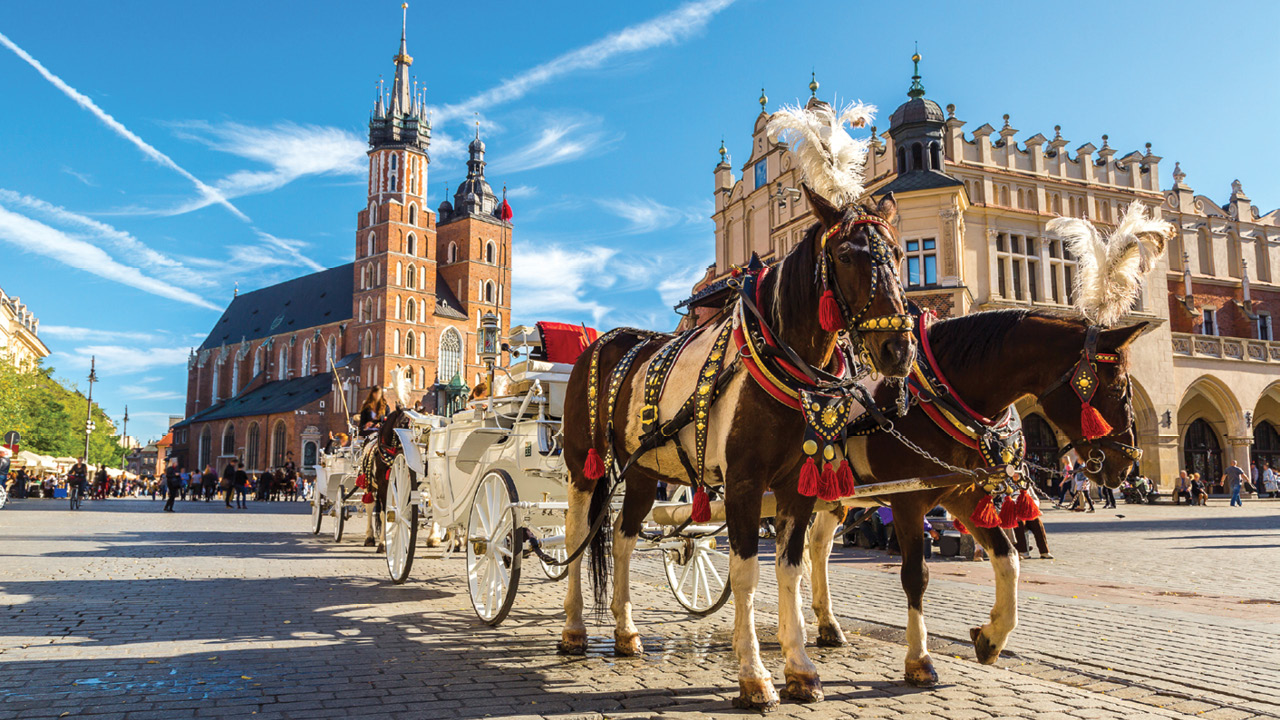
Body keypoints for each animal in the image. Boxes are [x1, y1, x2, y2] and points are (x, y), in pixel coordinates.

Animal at [560, 179, 921, 707]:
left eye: (899, 253)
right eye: (845, 255)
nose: (899, 349)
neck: (778, 362)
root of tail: (602, 342)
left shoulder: (797, 485)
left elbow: (790, 569)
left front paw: (801, 669)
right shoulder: (746, 483)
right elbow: (746, 572)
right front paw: (754, 676)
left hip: (643, 471)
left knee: (623, 539)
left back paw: (626, 633)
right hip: (582, 463)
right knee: (576, 536)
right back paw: (572, 629)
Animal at [798, 307, 1152, 681]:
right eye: (1117, 389)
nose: (1127, 464)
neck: (936, 398)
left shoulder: (962, 493)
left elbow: (1008, 558)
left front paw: (991, 637)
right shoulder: (907, 501)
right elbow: (915, 576)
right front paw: (919, 658)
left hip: (833, 496)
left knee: (818, 547)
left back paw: (827, 625)